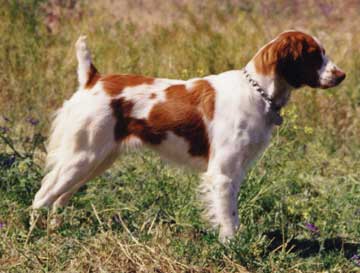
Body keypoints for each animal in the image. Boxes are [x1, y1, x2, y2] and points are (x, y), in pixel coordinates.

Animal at [33, 30, 346, 240]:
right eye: (314, 55)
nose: (342, 75)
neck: (257, 92)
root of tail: (93, 80)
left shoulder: (235, 172)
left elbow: (232, 213)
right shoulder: (222, 173)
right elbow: (228, 219)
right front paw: (233, 248)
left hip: (97, 159)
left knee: (59, 199)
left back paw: (58, 231)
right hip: (82, 157)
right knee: (42, 196)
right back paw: (34, 237)